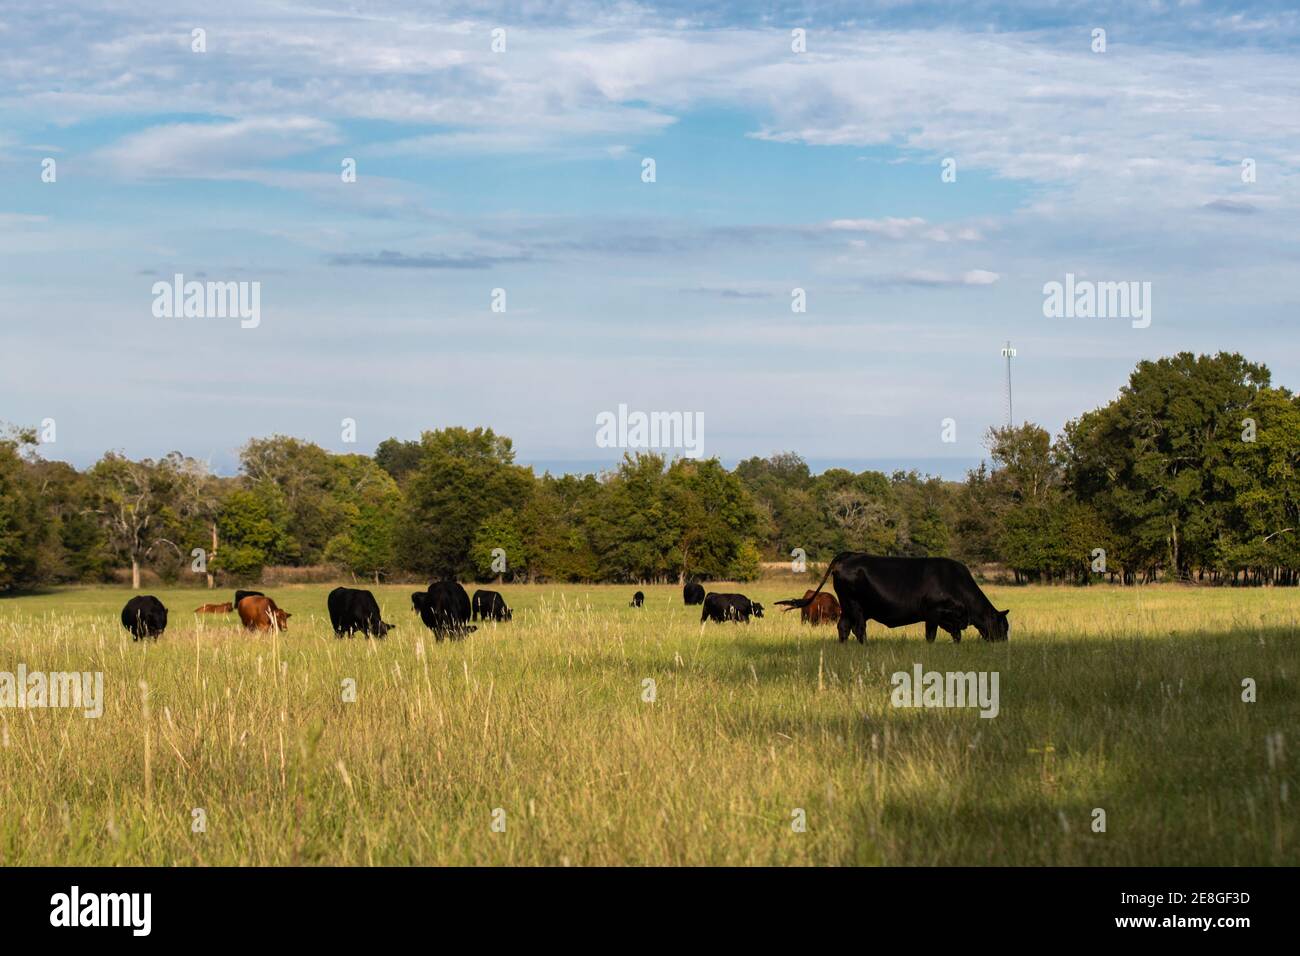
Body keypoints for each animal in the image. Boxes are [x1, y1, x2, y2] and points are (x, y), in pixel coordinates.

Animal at [774, 554, 1008, 642]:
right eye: (1003, 627)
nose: (1003, 643)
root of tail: (848, 554)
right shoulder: (933, 614)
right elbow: (931, 636)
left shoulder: (951, 620)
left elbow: (957, 635)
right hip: (855, 606)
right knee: (858, 629)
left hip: (848, 608)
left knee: (843, 627)